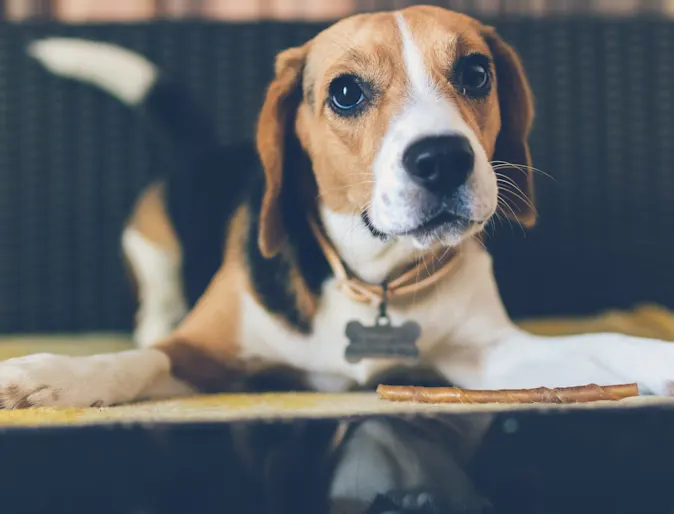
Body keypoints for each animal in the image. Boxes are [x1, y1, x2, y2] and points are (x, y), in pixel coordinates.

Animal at [3, 4, 672, 406]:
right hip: (151, 244)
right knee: (154, 311)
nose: (442, 159)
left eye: (477, 73)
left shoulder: (491, 354)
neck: (373, 278)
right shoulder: (199, 350)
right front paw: (49, 376)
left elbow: (607, 343)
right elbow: (131, 361)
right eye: (346, 92)